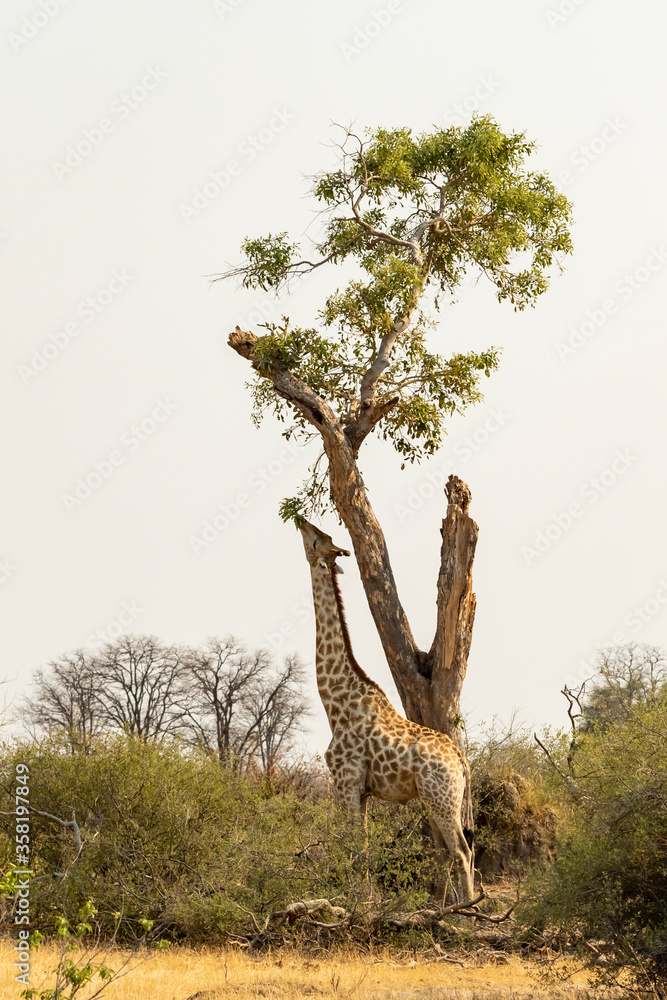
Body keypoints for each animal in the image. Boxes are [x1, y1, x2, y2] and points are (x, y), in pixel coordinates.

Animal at [298, 519, 475, 902]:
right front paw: (363, 900)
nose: (300, 520)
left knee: (461, 851)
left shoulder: (346, 781)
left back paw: (472, 909)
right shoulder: (361, 791)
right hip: (434, 798)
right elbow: (360, 848)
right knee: (446, 852)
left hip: (442, 796)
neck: (335, 701)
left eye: (317, 540)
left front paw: (359, 902)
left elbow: (352, 849)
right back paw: (443, 907)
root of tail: (462, 761)